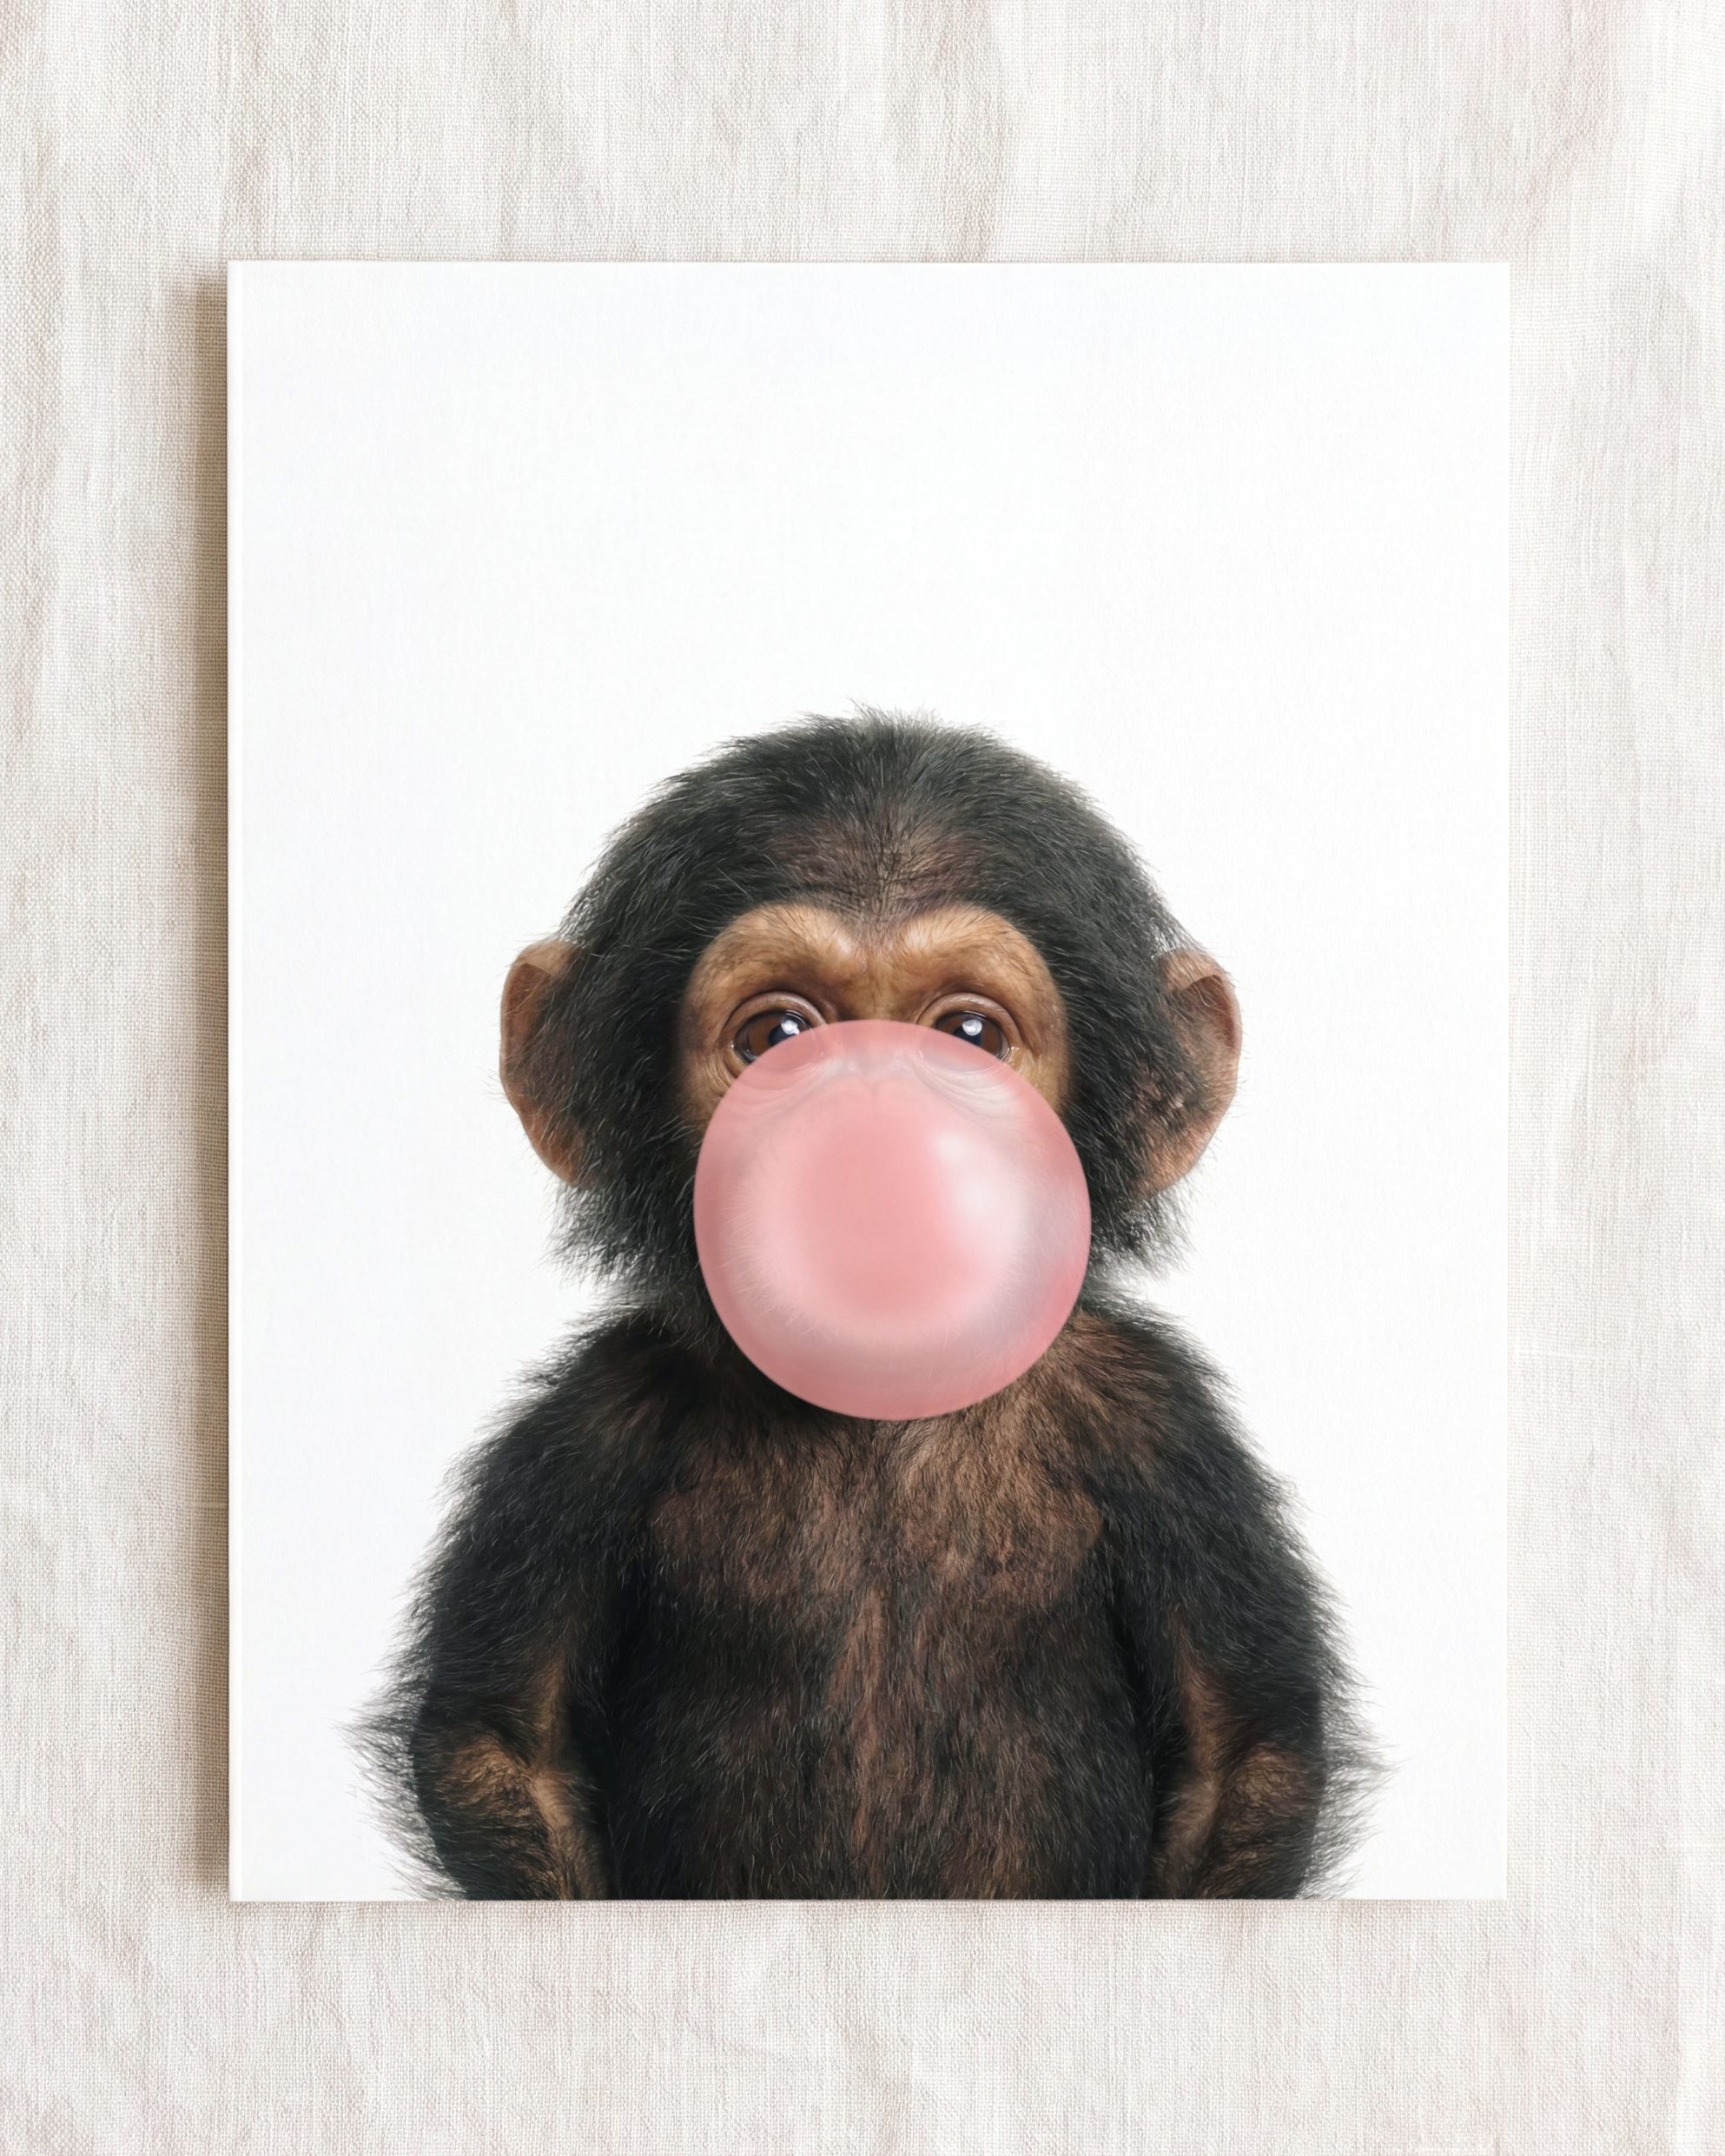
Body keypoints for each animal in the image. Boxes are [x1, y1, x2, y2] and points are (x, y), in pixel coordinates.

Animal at [363, 711, 1375, 1898]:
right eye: (780, 1036)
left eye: (971, 1035)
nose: (874, 1134)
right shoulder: (587, 1429)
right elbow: (502, 1745)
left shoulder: (1160, 1427)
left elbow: (1240, 1757)